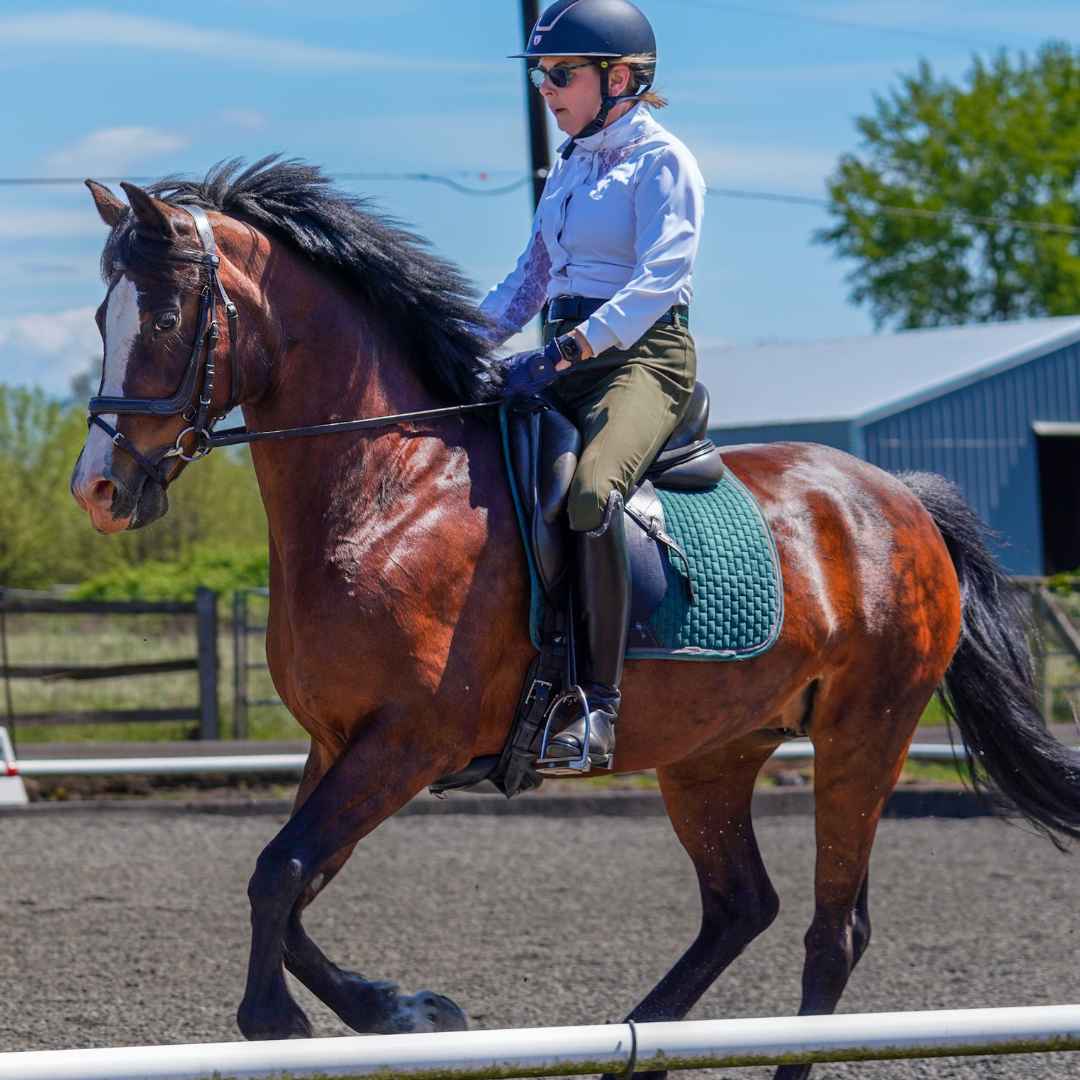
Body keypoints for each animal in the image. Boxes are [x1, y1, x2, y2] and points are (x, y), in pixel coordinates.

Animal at [70, 158, 1080, 1080]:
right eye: (98, 320)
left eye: (163, 321)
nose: (99, 492)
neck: (390, 492)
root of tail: (898, 497)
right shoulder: (338, 743)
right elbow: (295, 884)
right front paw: (404, 1009)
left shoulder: (409, 741)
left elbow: (278, 872)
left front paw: (284, 1020)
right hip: (713, 752)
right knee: (739, 907)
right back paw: (637, 1045)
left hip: (864, 736)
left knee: (834, 934)